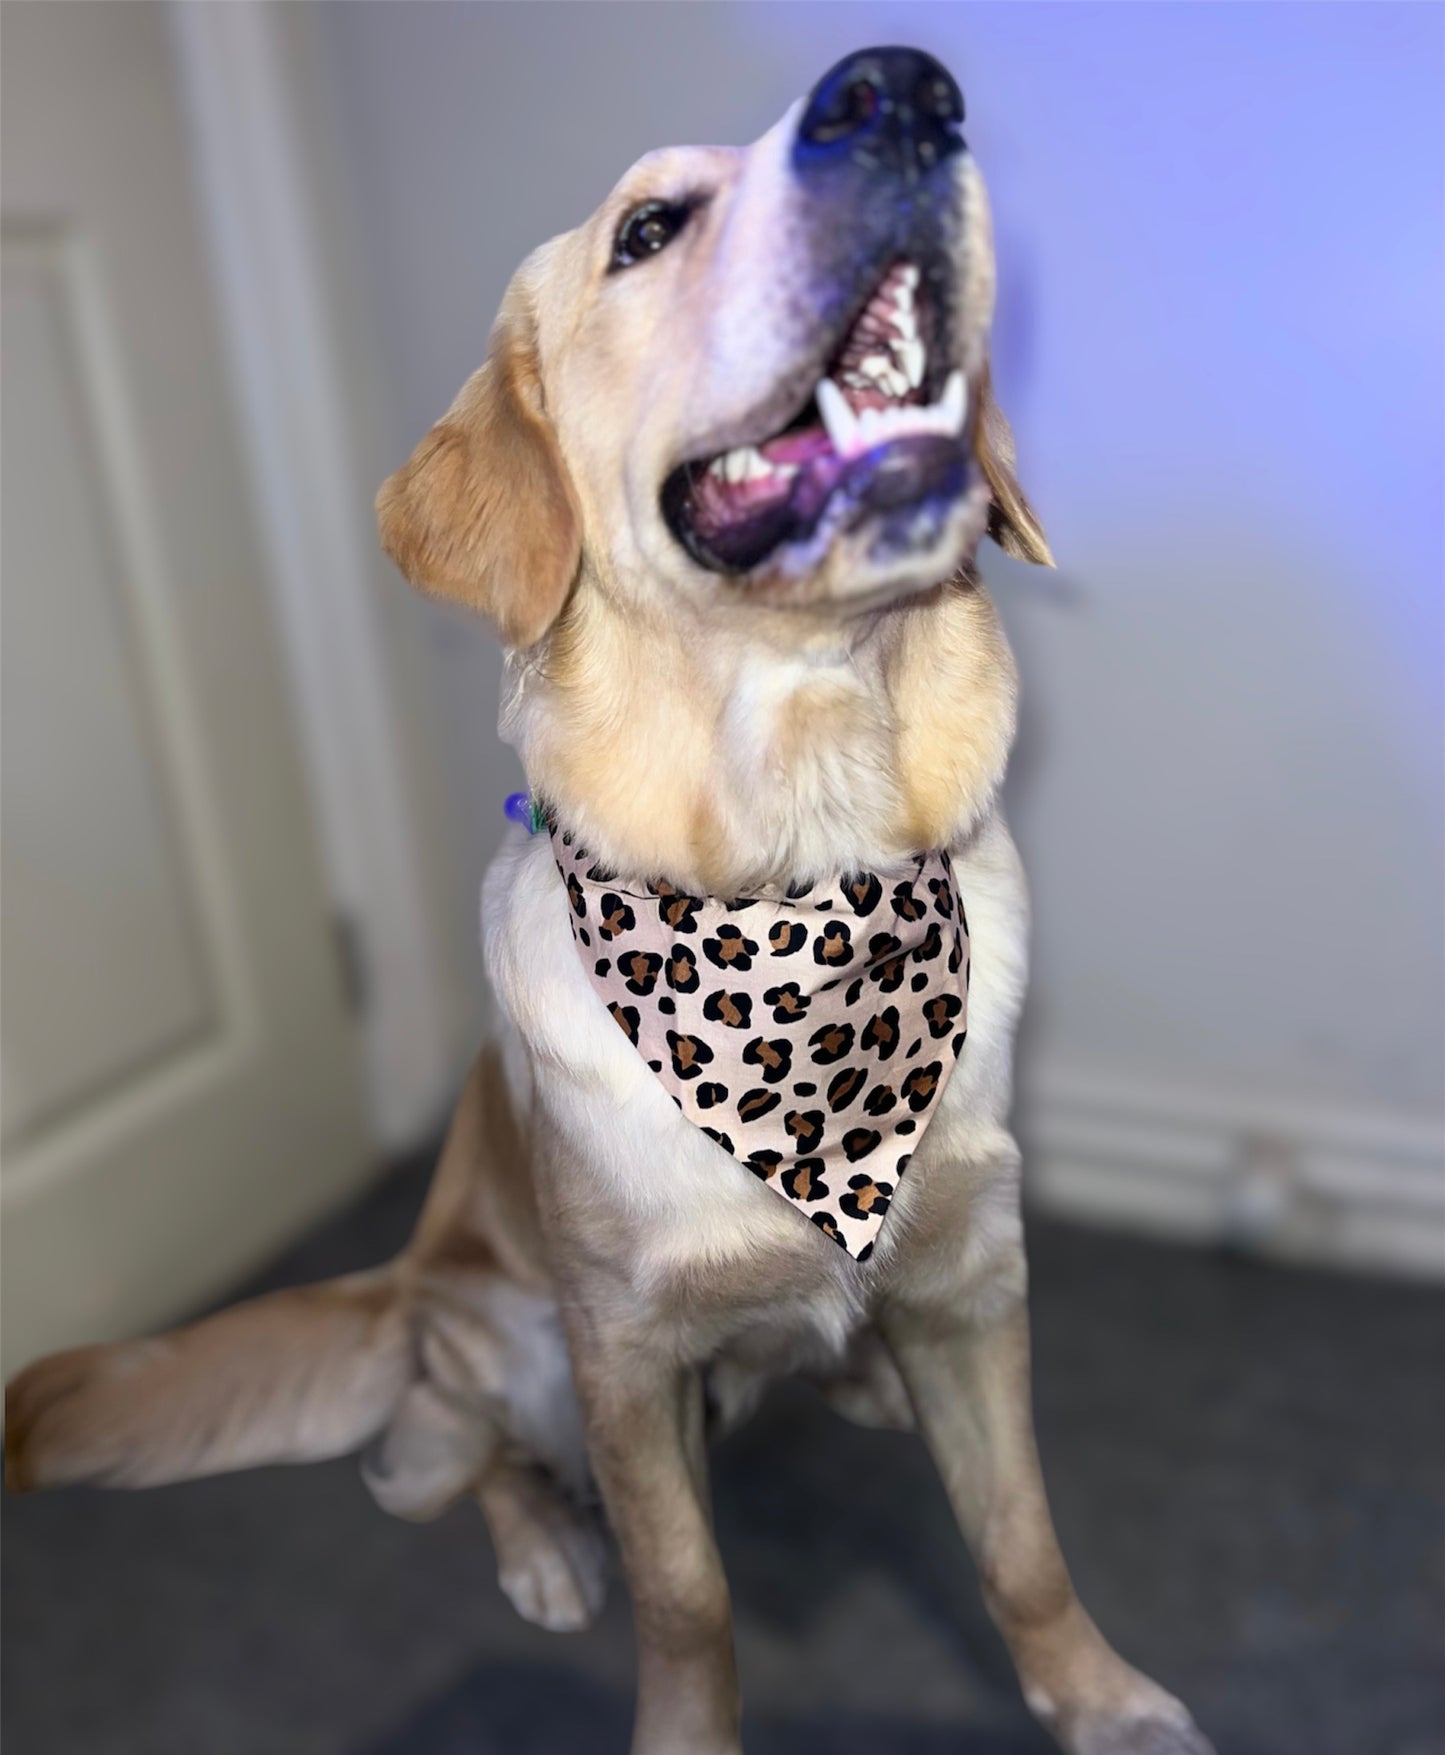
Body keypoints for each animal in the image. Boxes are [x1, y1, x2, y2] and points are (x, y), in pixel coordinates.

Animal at [8, 48, 1207, 1755]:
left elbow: (1022, 1538)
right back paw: (543, 1549)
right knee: (436, 1461)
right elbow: (686, 1591)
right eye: (646, 229)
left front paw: (1099, 1700)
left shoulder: (977, 1271)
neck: (803, 856)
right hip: (502, 1343)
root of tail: (396, 1282)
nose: (904, 88)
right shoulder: (624, 1353)